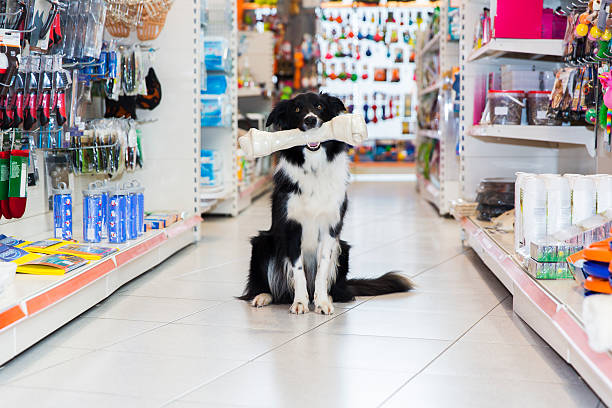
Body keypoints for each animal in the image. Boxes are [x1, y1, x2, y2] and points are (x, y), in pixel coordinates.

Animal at [239, 93, 412, 316]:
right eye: (297, 109)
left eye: (319, 106)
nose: (311, 120)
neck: (313, 167)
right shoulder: (291, 228)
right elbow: (298, 271)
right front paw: (300, 302)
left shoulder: (330, 228)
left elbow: (322, 268)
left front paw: (321, 301)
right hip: (262, 242)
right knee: (271, 287)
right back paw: (263, 296)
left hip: (343, 249)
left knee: (339, 290)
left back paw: (328, 296)